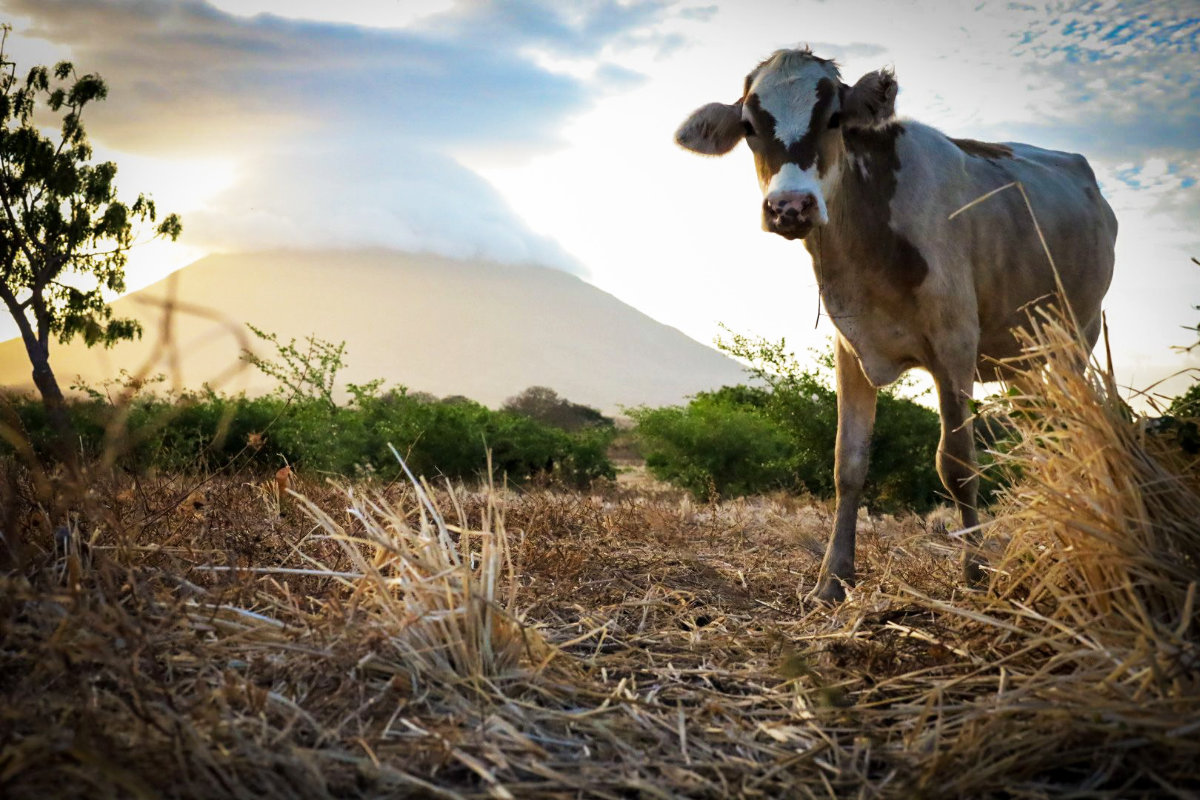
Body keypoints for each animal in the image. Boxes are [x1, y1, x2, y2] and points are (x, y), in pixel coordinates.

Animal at [676, 48, 1113, 599]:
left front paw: (974, 571)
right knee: (1041, 437)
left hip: (1076, 338)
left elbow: (958, 464)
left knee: (1073, 430)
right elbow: (848, 463)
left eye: (834, 119)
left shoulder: (954, 345)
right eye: (750, 126)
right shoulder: (850, 348)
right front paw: (832, 578)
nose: (790, 206)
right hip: (1022, 361)